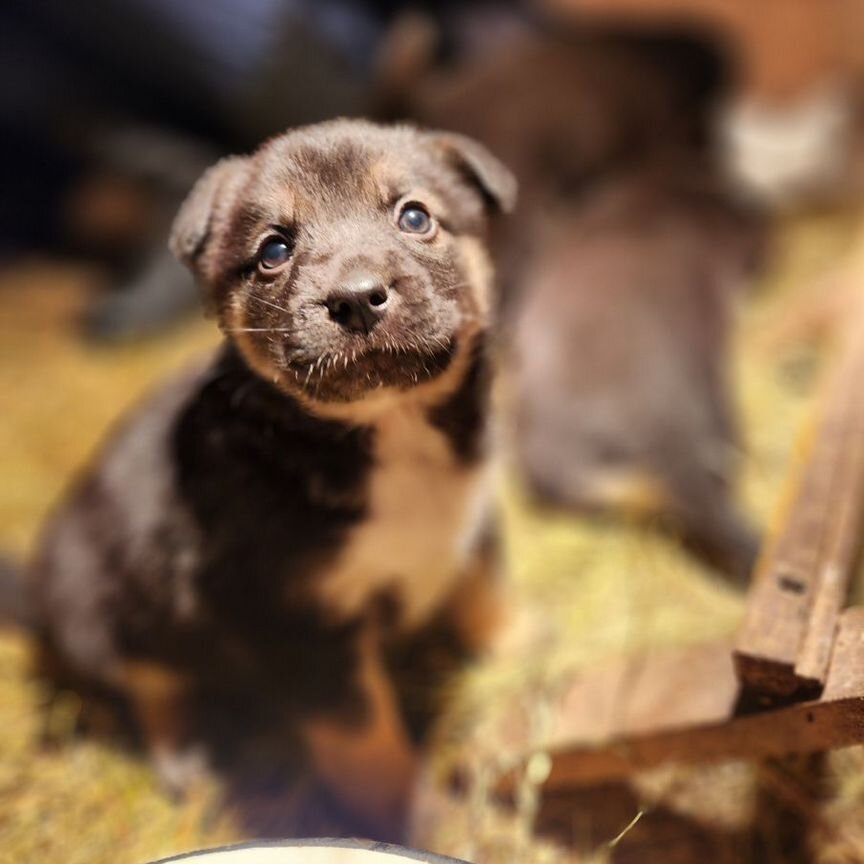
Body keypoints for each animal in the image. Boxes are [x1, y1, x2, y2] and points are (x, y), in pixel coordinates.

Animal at [27, 118, 512, 840]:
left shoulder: (473, 509)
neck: (385, 431)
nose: (356, 300)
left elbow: (485, 588)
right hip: (108, 612)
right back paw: (187, 759)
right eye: (274, 250)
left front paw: (525, 650)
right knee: (152, 686)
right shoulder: (300, 625)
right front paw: (411, 818)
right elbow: (366, 742)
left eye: (415, 215)